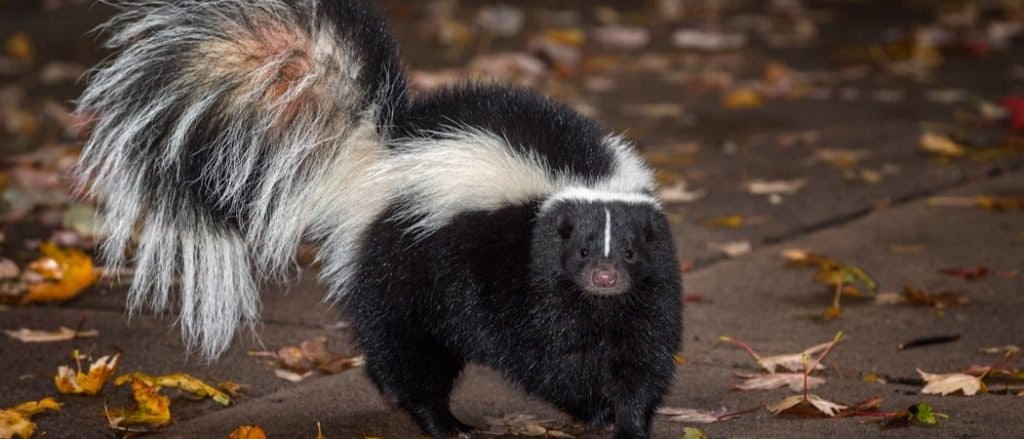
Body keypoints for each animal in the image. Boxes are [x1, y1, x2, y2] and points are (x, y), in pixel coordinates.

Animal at [77, 1, 679, 435]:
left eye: (628, 250)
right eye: (580, 249)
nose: (604, 276)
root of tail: (378, 151)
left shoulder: (649, 285)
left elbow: (645, 350)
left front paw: (629, 420)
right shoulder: (519, 275)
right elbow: (543, 353)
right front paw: (595, 408)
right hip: (407, 262)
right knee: (409, 350)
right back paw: (443, 422)